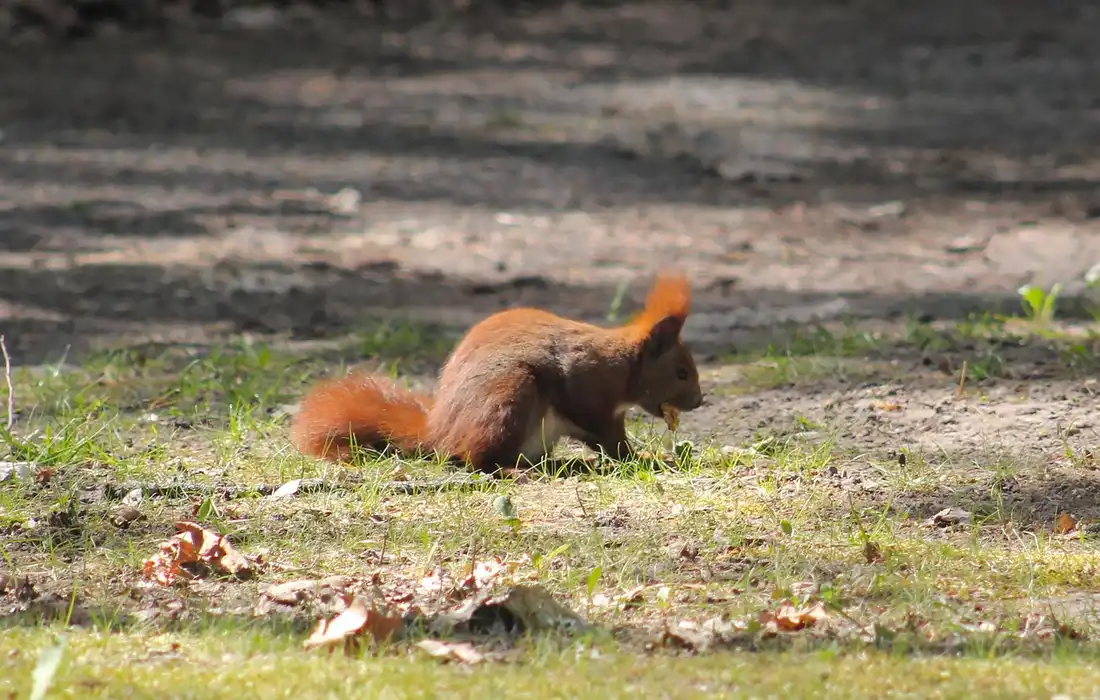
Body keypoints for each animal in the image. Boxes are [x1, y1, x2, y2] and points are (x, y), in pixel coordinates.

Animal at [289, 271, 704, 474]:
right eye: (682, 373)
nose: (700, 401)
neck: (622, 363)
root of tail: (440, 433)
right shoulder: (585, 386)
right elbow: (607, 435)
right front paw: (645, 458)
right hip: (509, 396)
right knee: (477, 460)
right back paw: (514, 472)